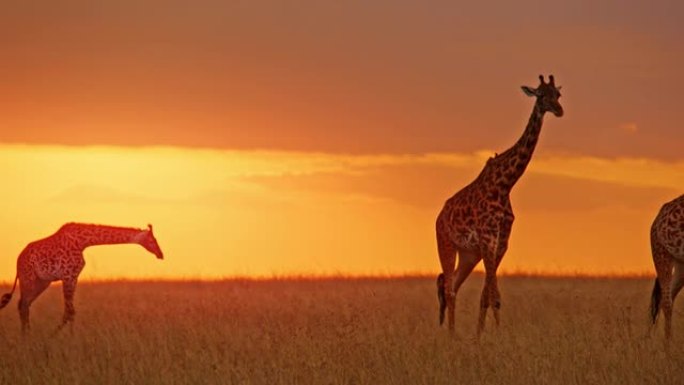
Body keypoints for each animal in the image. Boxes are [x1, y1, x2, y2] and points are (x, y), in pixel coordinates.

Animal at [0, 222, 164, 330]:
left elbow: (70, 312)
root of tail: (18, 260)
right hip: (28, 278)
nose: (161, 254)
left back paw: (28, 335)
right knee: (22, 304)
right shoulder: (68, 276)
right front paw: (61, 337)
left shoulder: (74, 277)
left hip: (42, 282)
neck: (83, 242)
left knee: (25, 304)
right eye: (152, 240)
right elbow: (69, 312)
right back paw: (26, 336)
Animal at [436, 74, 564, 332]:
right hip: (446, 244)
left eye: (558, 94)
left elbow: (487, 296)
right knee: (448, 288)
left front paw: (483, 334)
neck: (505, 185)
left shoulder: (502, 242)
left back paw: (454, 333)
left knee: (452, 285)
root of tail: (438, 218)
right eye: (541, 95)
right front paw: (495, 335)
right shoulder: (487, 239)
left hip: (468, 254)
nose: (559, 110)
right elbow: (493, 296)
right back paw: (452, 335)